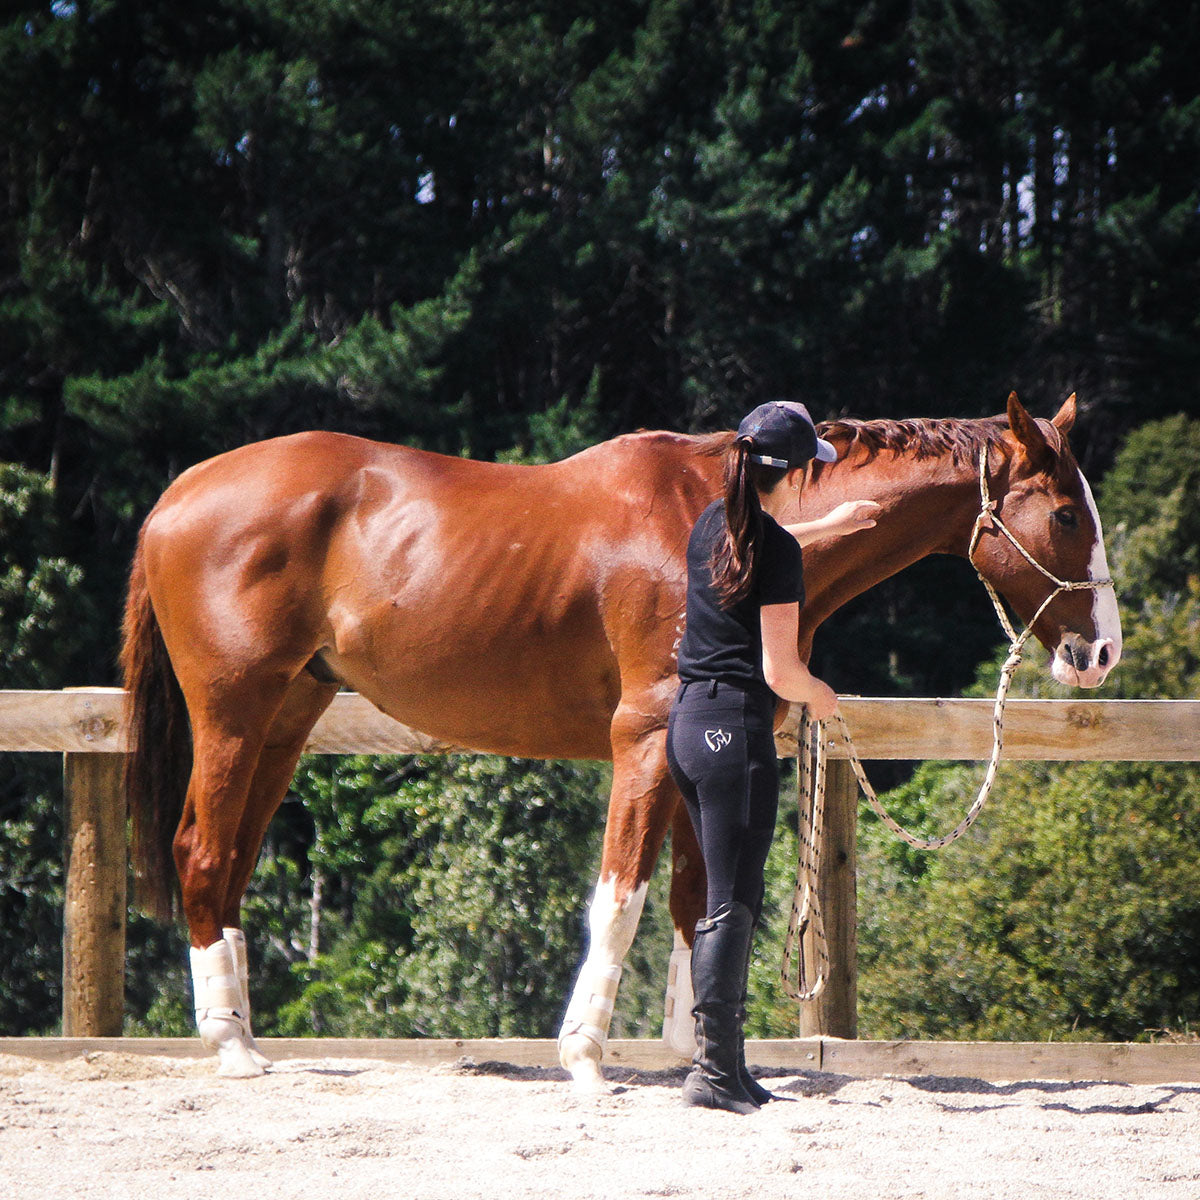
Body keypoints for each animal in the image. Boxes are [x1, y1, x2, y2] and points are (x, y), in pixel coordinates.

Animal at [119, 396, 1113, 1089]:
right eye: (1067, 514)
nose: (1101, 652)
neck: (729, 521)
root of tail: (175, 496)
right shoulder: (643, 739)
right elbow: (621, 899)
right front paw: (586, 1055)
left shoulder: (696, 756)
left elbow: (697, 900)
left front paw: (694, 1050)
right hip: (235, 715)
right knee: (200, 849)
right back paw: (230, 1047)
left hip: (289, 716)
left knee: (232, 863)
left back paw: (244, 1034)